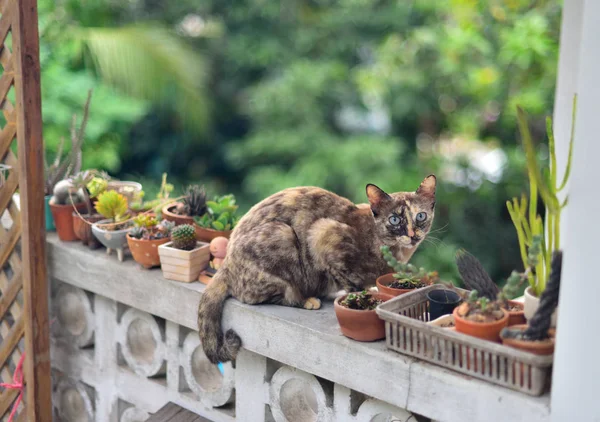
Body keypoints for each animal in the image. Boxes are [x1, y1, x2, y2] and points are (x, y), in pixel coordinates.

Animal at [197, 175, 436, 362]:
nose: (413, 235)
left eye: (420, 216)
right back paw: (307, 300)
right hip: (283, 236)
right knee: (265, 296)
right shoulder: (323, 235)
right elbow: (349, 281)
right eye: (394, 219)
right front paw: (361, 295)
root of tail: (226, 264)